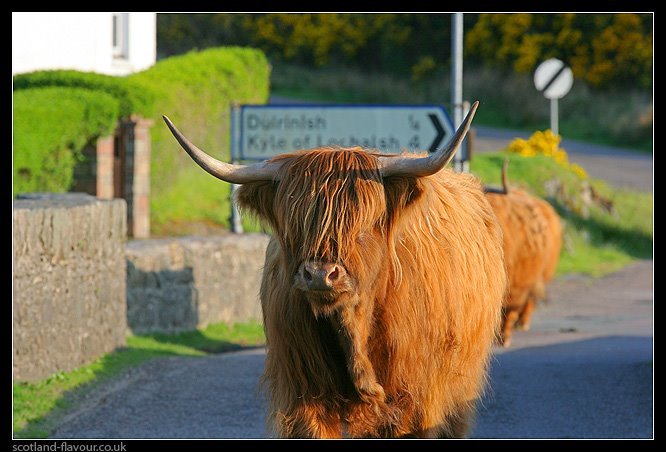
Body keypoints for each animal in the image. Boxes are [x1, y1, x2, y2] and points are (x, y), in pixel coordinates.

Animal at [482, 162, 560, 346]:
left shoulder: (516, 286)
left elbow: (509, 311)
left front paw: (505, 337)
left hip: (537, 276)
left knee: (529, 300)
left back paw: (522, 324)